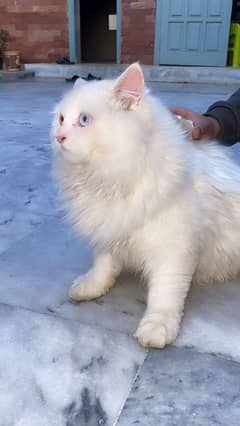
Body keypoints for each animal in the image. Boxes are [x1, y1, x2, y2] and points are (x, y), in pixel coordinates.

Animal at [51, 64, 240, 350]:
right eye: (61, 119)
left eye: (84, 120)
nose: (59, 136)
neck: (110, 179)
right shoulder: (108, 233)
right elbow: (103, 268)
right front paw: (91, 287)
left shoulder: (173, 250)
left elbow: (165, 295)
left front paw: (157, 328)